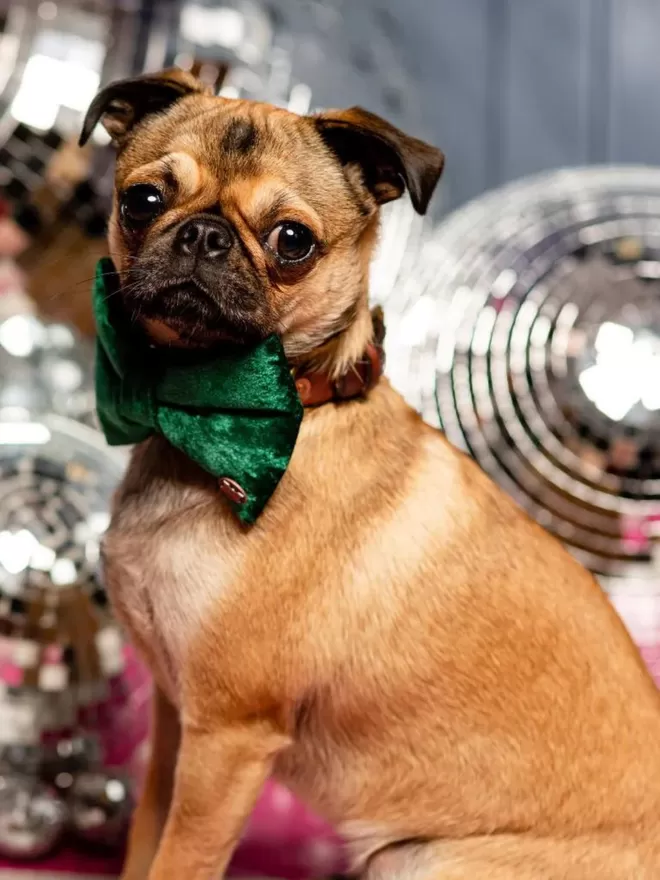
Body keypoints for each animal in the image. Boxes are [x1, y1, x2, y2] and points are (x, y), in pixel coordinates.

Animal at [80, 70, 660, 880]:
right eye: (142, 201)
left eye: (292, 241)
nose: (202, 234)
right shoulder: (176, 722)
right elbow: (146, 842)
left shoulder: (226, 740)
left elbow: (178, 861)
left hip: (418, 859)